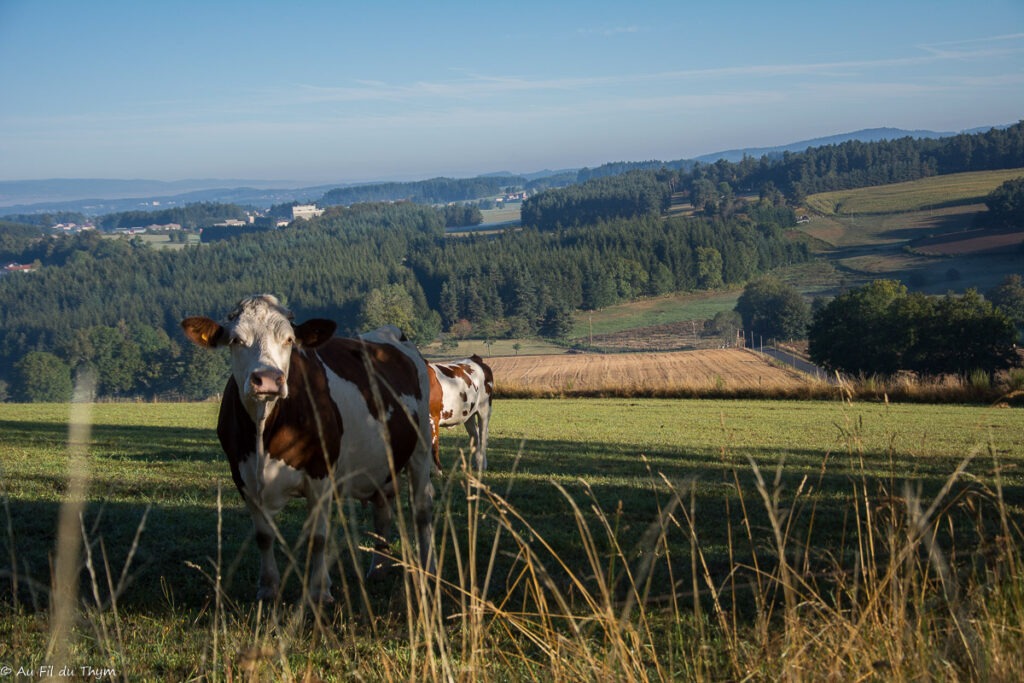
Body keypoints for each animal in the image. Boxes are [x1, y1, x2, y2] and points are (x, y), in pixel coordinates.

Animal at [182, 296, 434, 602]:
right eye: (236, 340)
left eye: (289, 339)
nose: (268, 379)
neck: (264, 430)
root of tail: (391, 332)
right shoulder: (243, 479)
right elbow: (263, 536)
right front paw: (268, 588)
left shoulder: (321, 476)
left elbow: (318, 538)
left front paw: (319, 591)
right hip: (381, 461)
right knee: (382, 509)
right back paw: (378, 568)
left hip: (421, 449)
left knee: (422, 510)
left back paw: (427, 569)